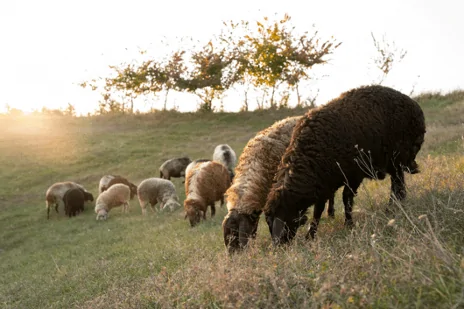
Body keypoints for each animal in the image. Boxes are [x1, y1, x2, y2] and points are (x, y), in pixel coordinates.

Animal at [262, 85, 426, 245]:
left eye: (282, 215)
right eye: (268, 221)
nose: (278, 245)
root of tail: (414, 104)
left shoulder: (353, 175)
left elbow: (346, 199)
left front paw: (348, 225)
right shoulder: (324, 184)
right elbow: (318, 210)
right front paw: (311, 235)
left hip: (398, 158)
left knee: (397, 184)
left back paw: (392, 209)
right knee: (398, 184)